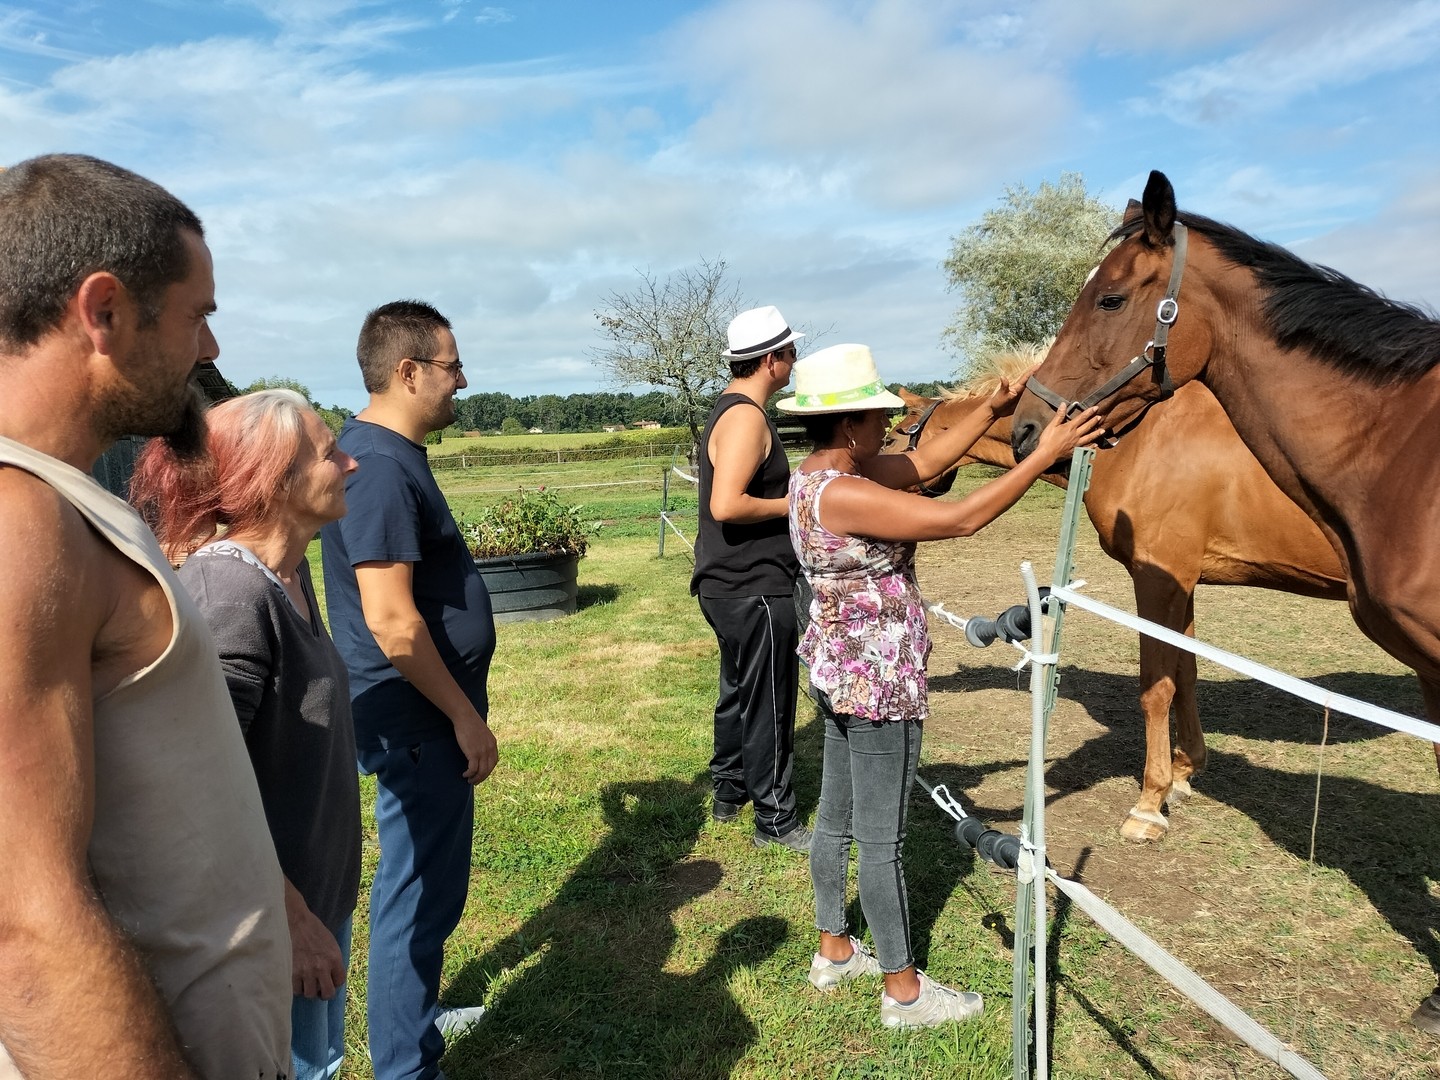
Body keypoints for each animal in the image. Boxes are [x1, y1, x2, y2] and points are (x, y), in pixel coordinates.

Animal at [1013, 171, 1440, 777]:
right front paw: (1185, 771)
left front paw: (1156, 791)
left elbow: (1158, 685)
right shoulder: (1179, 577)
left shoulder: (1158, 576)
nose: (1027, 427)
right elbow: (1185, 672)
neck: (1398, 454)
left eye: (1110, 299)